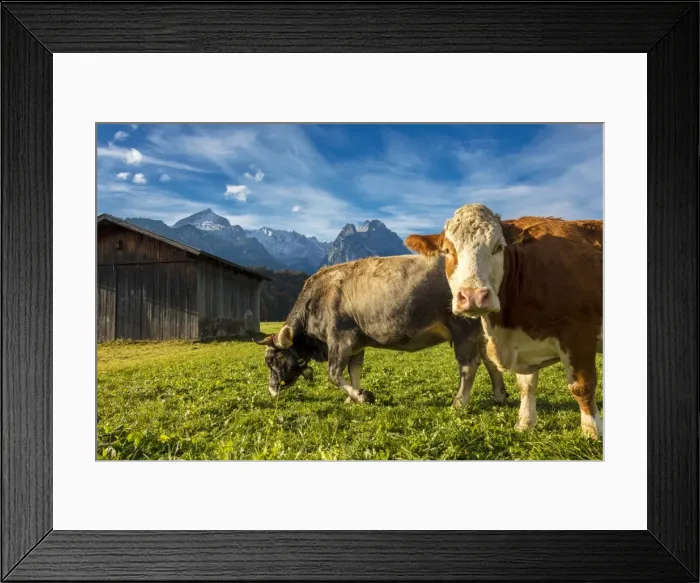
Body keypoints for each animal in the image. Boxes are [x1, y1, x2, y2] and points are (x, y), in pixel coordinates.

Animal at [255, 253, 507, 408]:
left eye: (272, 361)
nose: (271, 391)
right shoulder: (356, 343)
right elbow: (354, 371)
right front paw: (353, 398)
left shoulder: (340, 338)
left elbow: (334, 374)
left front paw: (362, 396)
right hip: (481, 332)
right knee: (491, 361)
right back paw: (500, 395)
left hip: (463, 328)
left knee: (469, 365)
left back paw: (460, 402)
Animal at [405, 204, 603, 439]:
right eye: (447, 250)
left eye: (499, 247)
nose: (473, 296)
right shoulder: (521, 340)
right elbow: (526, 385)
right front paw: (525, 423)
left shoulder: (579, 336)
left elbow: (582, 387)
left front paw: (593, 432)